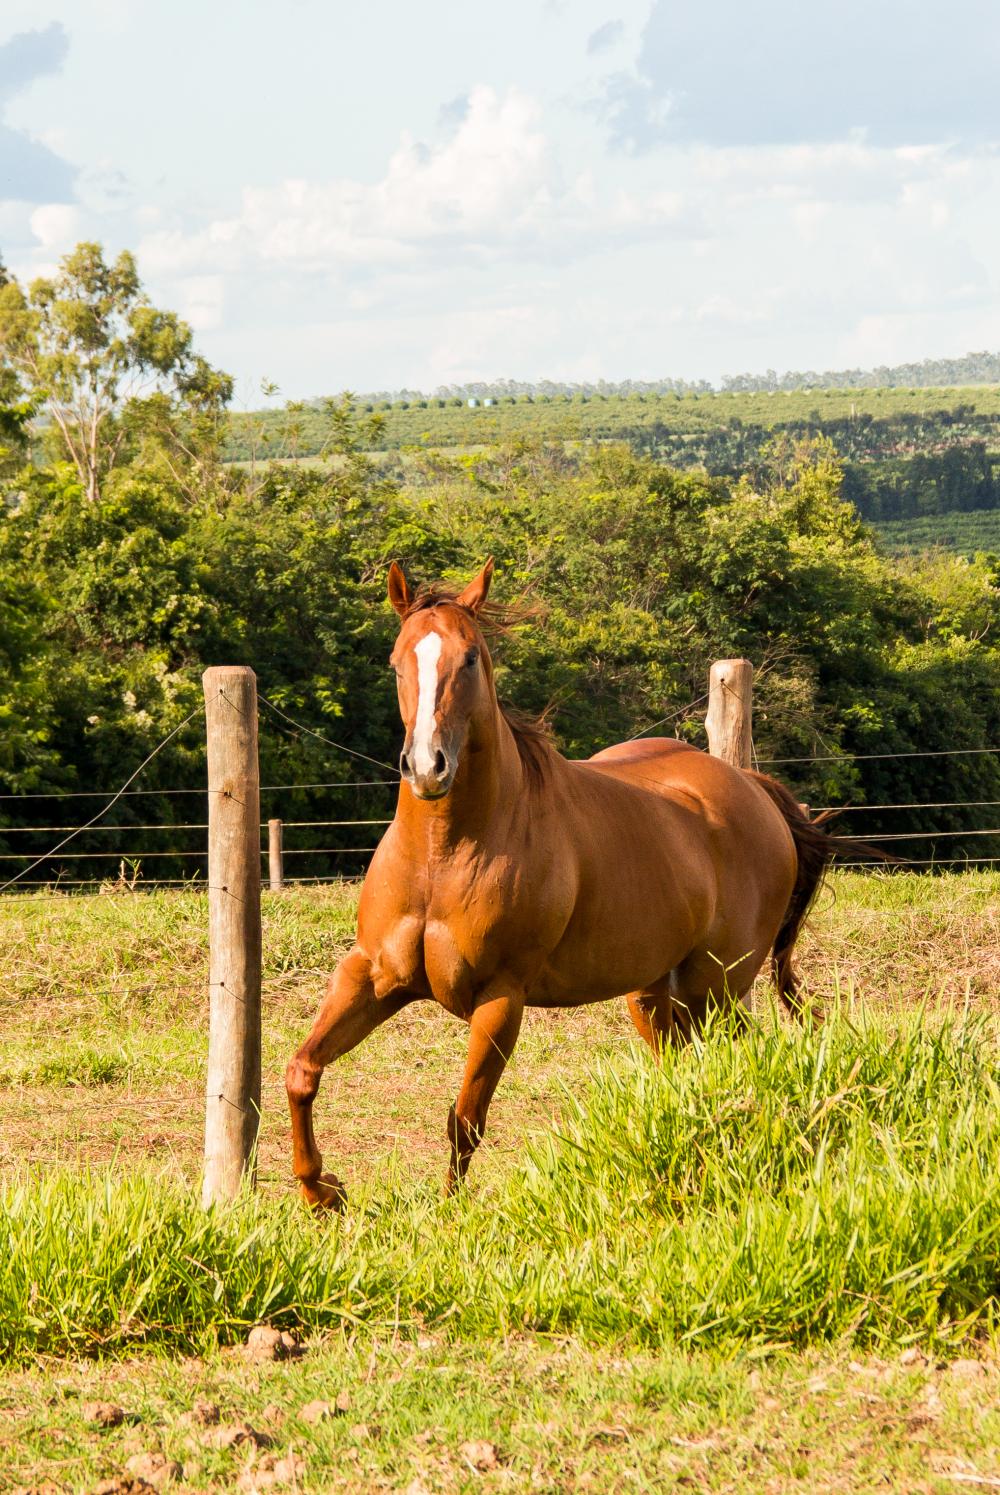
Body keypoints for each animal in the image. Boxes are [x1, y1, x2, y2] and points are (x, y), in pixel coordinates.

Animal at [286, 559, 839, 1206]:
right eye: (397, 661)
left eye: (469, 657)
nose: (427, 767)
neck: (443, 856)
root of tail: (754, 790)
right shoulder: (373, 975)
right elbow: (302, 1071)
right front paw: (321, 1192)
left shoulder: (501, 997)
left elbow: (465, 1119)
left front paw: (447, 1213)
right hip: (656, 993)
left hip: (716, 987)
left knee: (735, 1057)